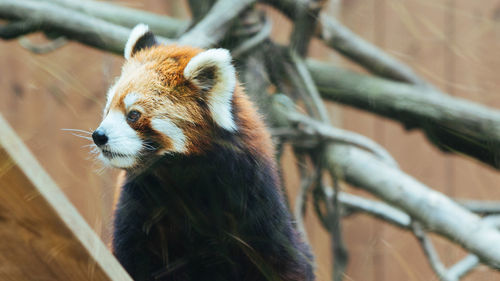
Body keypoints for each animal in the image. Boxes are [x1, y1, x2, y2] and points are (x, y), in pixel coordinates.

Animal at [92, 24, 314, 280]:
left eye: (133, 115)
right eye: (107, 109)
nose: (99, 136)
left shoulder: (255, 210)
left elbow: (285, 263)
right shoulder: (137, 207)